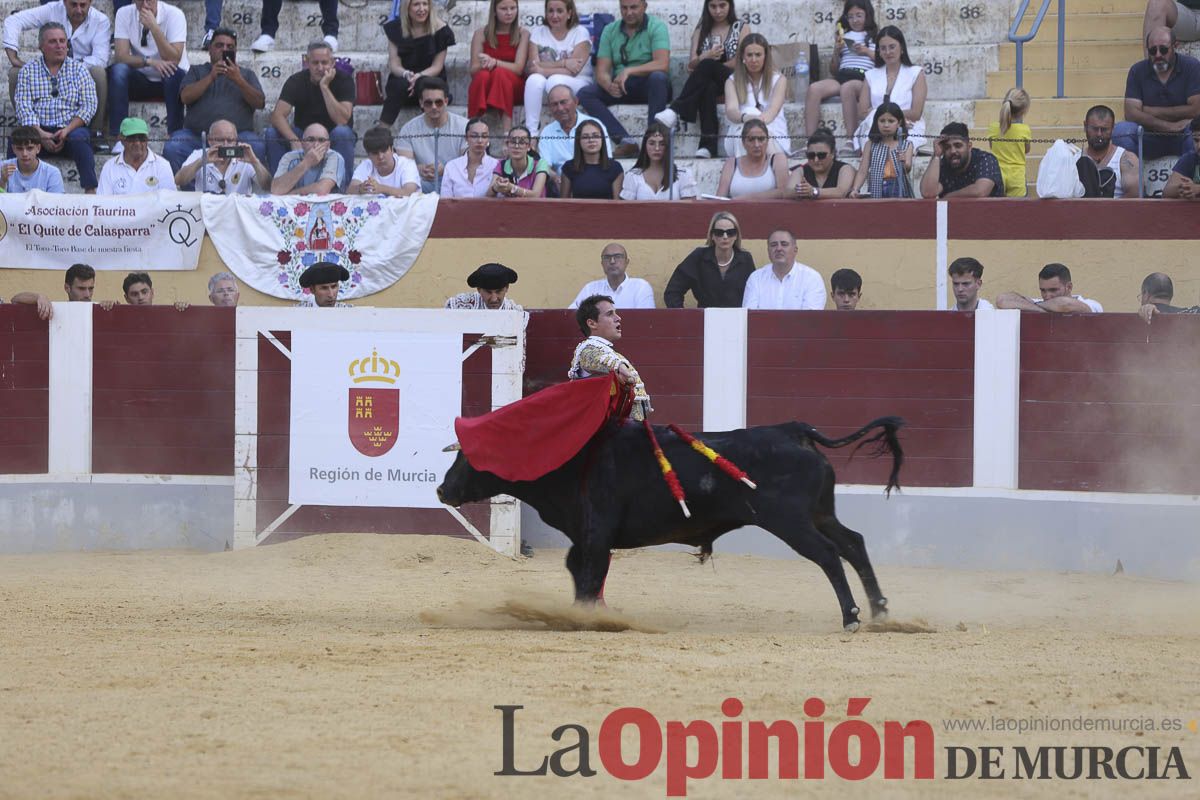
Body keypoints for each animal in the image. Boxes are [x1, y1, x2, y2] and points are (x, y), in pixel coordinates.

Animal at [436, 419, 902, 633]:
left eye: (468, 458)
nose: (442, 490)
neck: (572, 461)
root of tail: (793, 430)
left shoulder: (596, 533)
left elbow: (589, 572)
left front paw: (584, 617)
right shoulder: (587, 535)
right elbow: (579, 570)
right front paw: (587, 613)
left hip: (790, 522)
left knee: (827, 554)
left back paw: (852, 616)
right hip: (820, 513)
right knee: (854, 544)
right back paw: (880, 610)